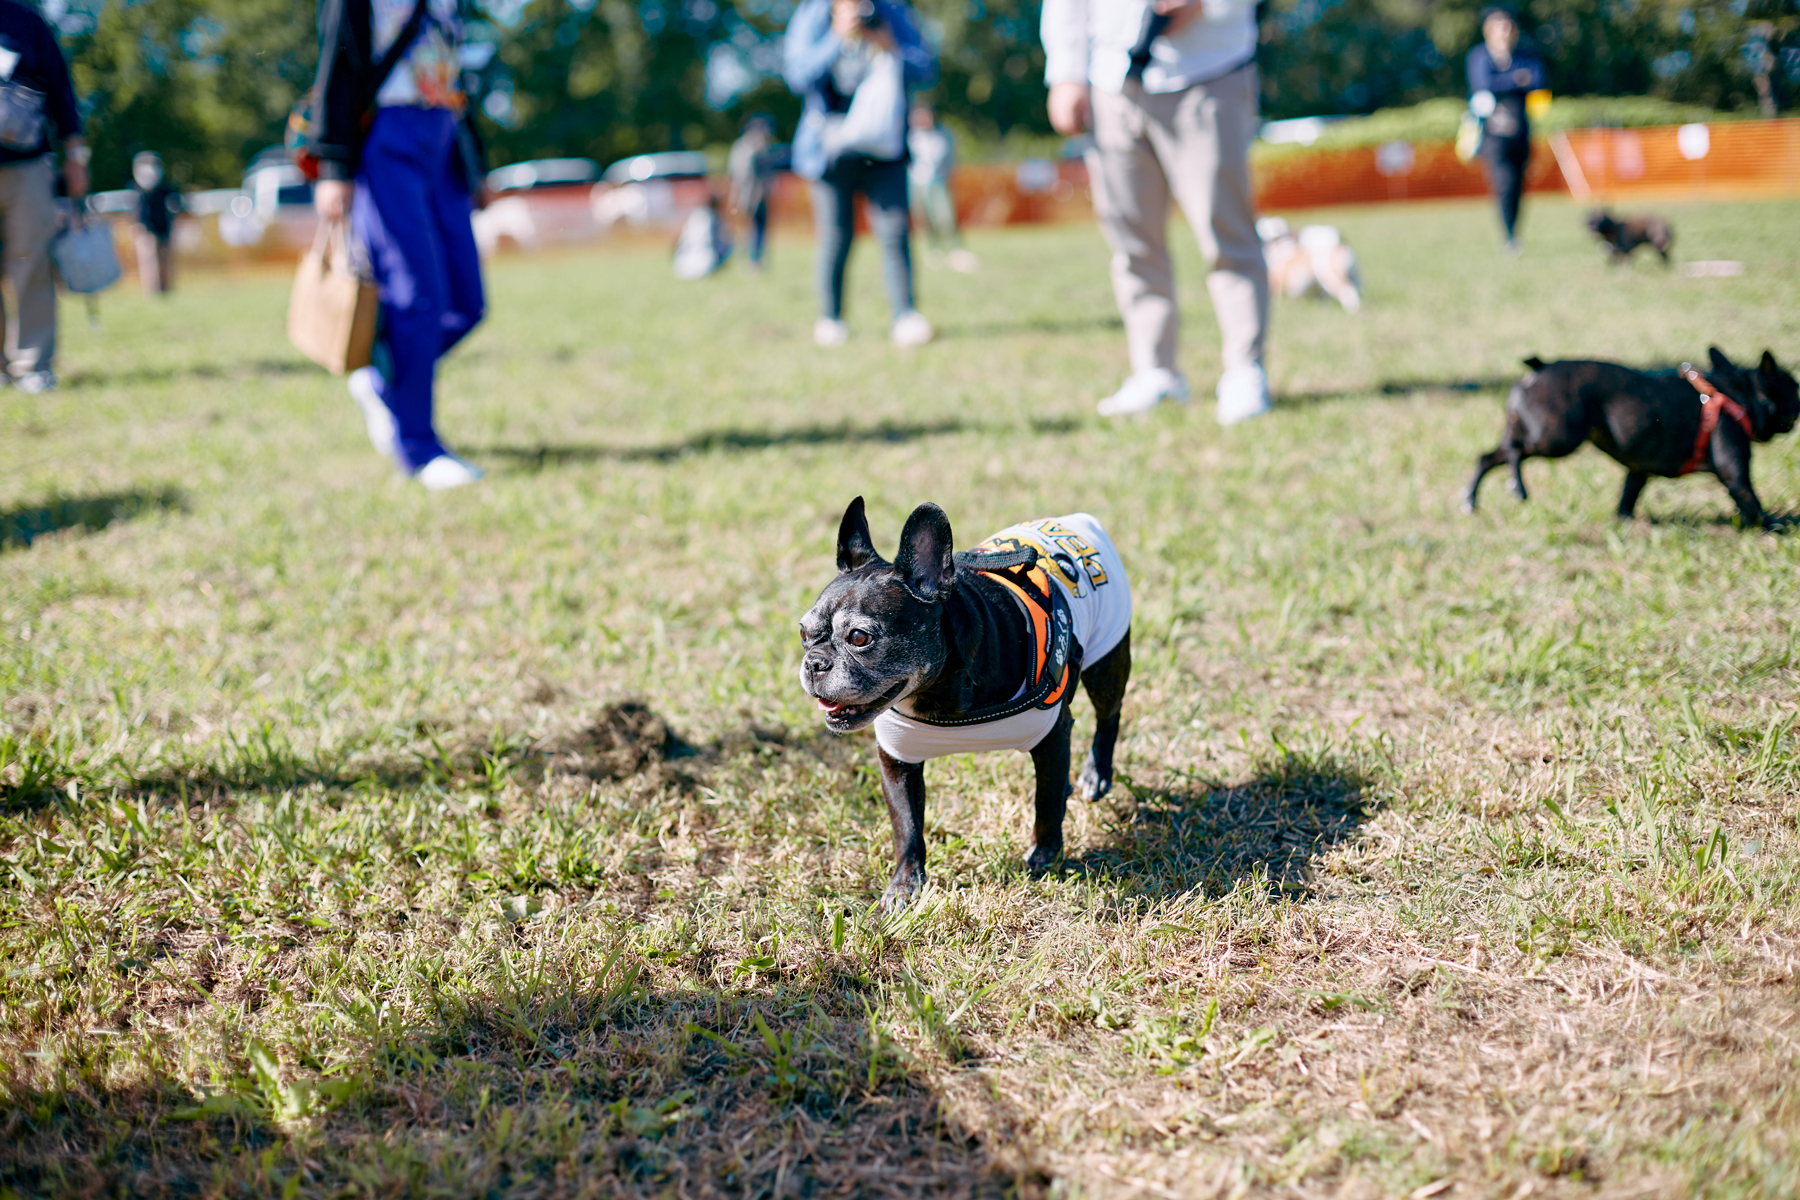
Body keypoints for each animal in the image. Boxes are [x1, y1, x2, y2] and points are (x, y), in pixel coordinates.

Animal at [1468, 352, 1792, 528]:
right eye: (1795, 388)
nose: (1798, 402)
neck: (1737, 396)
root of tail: (1539, 369)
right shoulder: (1734, 472)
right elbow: (1750, 499)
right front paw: (1775, 526)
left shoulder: (1638, 471)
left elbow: (1628, 495)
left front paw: (1623, 521)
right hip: (1558, 439)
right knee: (1514, 451)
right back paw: (1517, 488)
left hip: (1540, 433)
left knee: (1489, 456)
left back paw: (1470, 500)